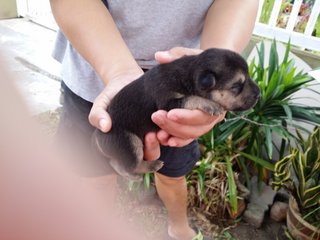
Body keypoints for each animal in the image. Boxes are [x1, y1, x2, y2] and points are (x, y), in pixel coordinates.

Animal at [92, 48, 260, 180]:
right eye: (236, 86)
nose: (259, 94)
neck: (190, 73)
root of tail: (98, 137)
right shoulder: (167, 103)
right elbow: (190, 98)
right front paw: (211, 105)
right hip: (130, 143)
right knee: (125, 165)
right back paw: (146, 168)